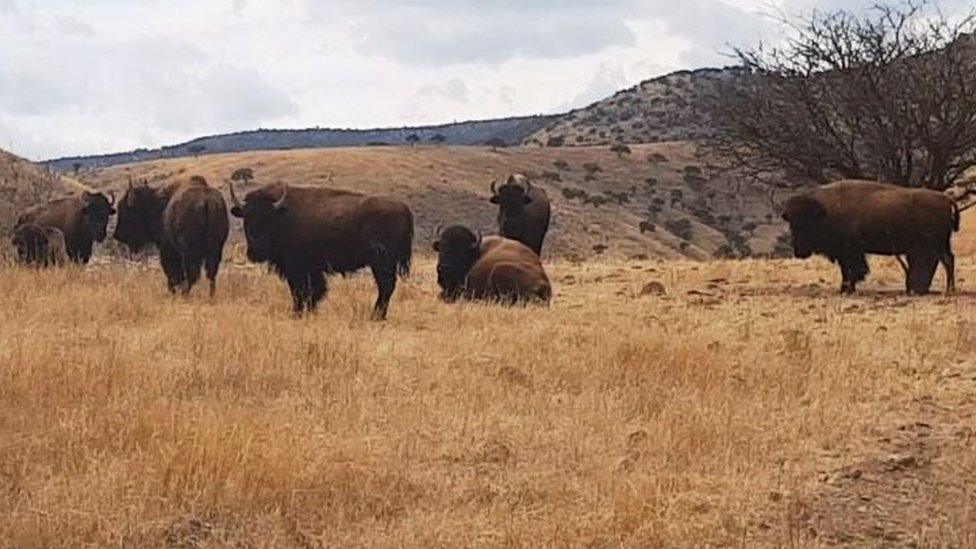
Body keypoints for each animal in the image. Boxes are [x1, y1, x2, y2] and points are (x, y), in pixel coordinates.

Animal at [228, 181, 412, 316]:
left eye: (268, 219)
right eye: (246, 219)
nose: (256, 251)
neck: (281, 216)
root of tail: (404, 207)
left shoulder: (299, 269)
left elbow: (302, 291)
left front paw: (298, 313)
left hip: (382, 262)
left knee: (386, 286)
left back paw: (376, 316)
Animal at [780, 180, 956, 294]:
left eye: (809, 223)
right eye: (792, 223)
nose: (799, 251)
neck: (825, 212)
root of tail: (947, 199)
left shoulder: (849, 252)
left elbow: (851, 271)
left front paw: (846, 290)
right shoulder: (847, 253)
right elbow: (847, 271)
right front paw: (846, 289)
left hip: (935, 244)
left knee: (945, 261)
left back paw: (948, 289)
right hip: (940, 244)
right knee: (947, 260)